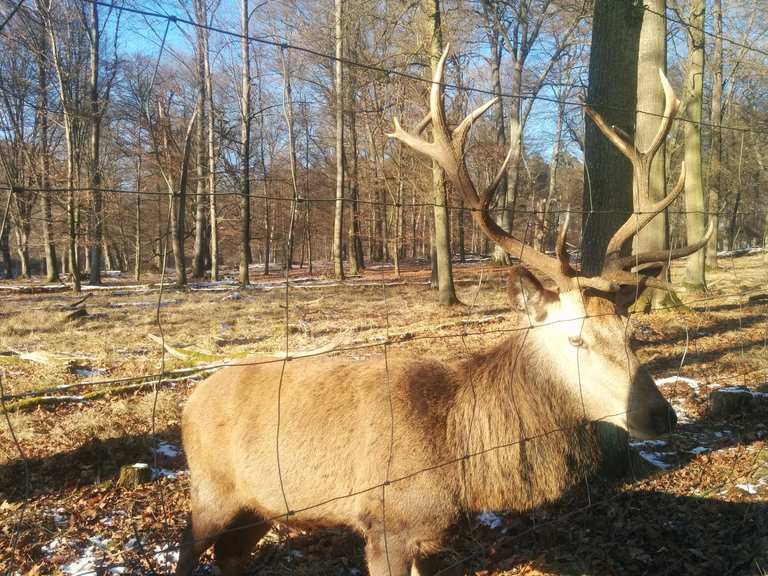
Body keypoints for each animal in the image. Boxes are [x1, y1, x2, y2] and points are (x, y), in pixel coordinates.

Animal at [172, 45, 708, 576]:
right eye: (574, 337)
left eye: (630, 332)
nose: (661, 415)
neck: (462, 463)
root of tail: (192, 399)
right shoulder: (385, 523)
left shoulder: (428, 536)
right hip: (212, 489)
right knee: (187, 547)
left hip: (261, 502)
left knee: (232, 554)